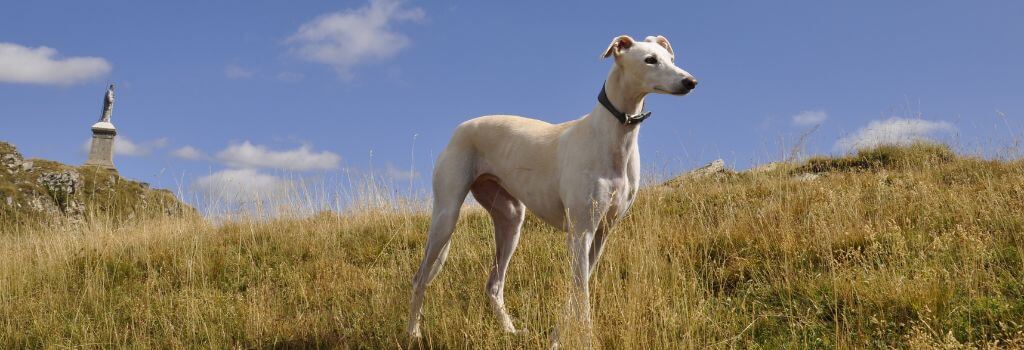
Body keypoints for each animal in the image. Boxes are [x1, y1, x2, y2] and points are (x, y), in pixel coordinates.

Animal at [405, 34, 696, 339]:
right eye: (650, 60)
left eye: (671, 59)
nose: (691, 82)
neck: (613, 136)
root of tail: (459, 128)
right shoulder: (581, 232)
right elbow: (581, 292)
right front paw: (586, 338)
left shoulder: (602, 233)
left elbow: (576, 288)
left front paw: (559, 336)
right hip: (446, 216)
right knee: (419, 278)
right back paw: (413, 332)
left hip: (511, 221)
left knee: (494, 285)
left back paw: (511, 331)